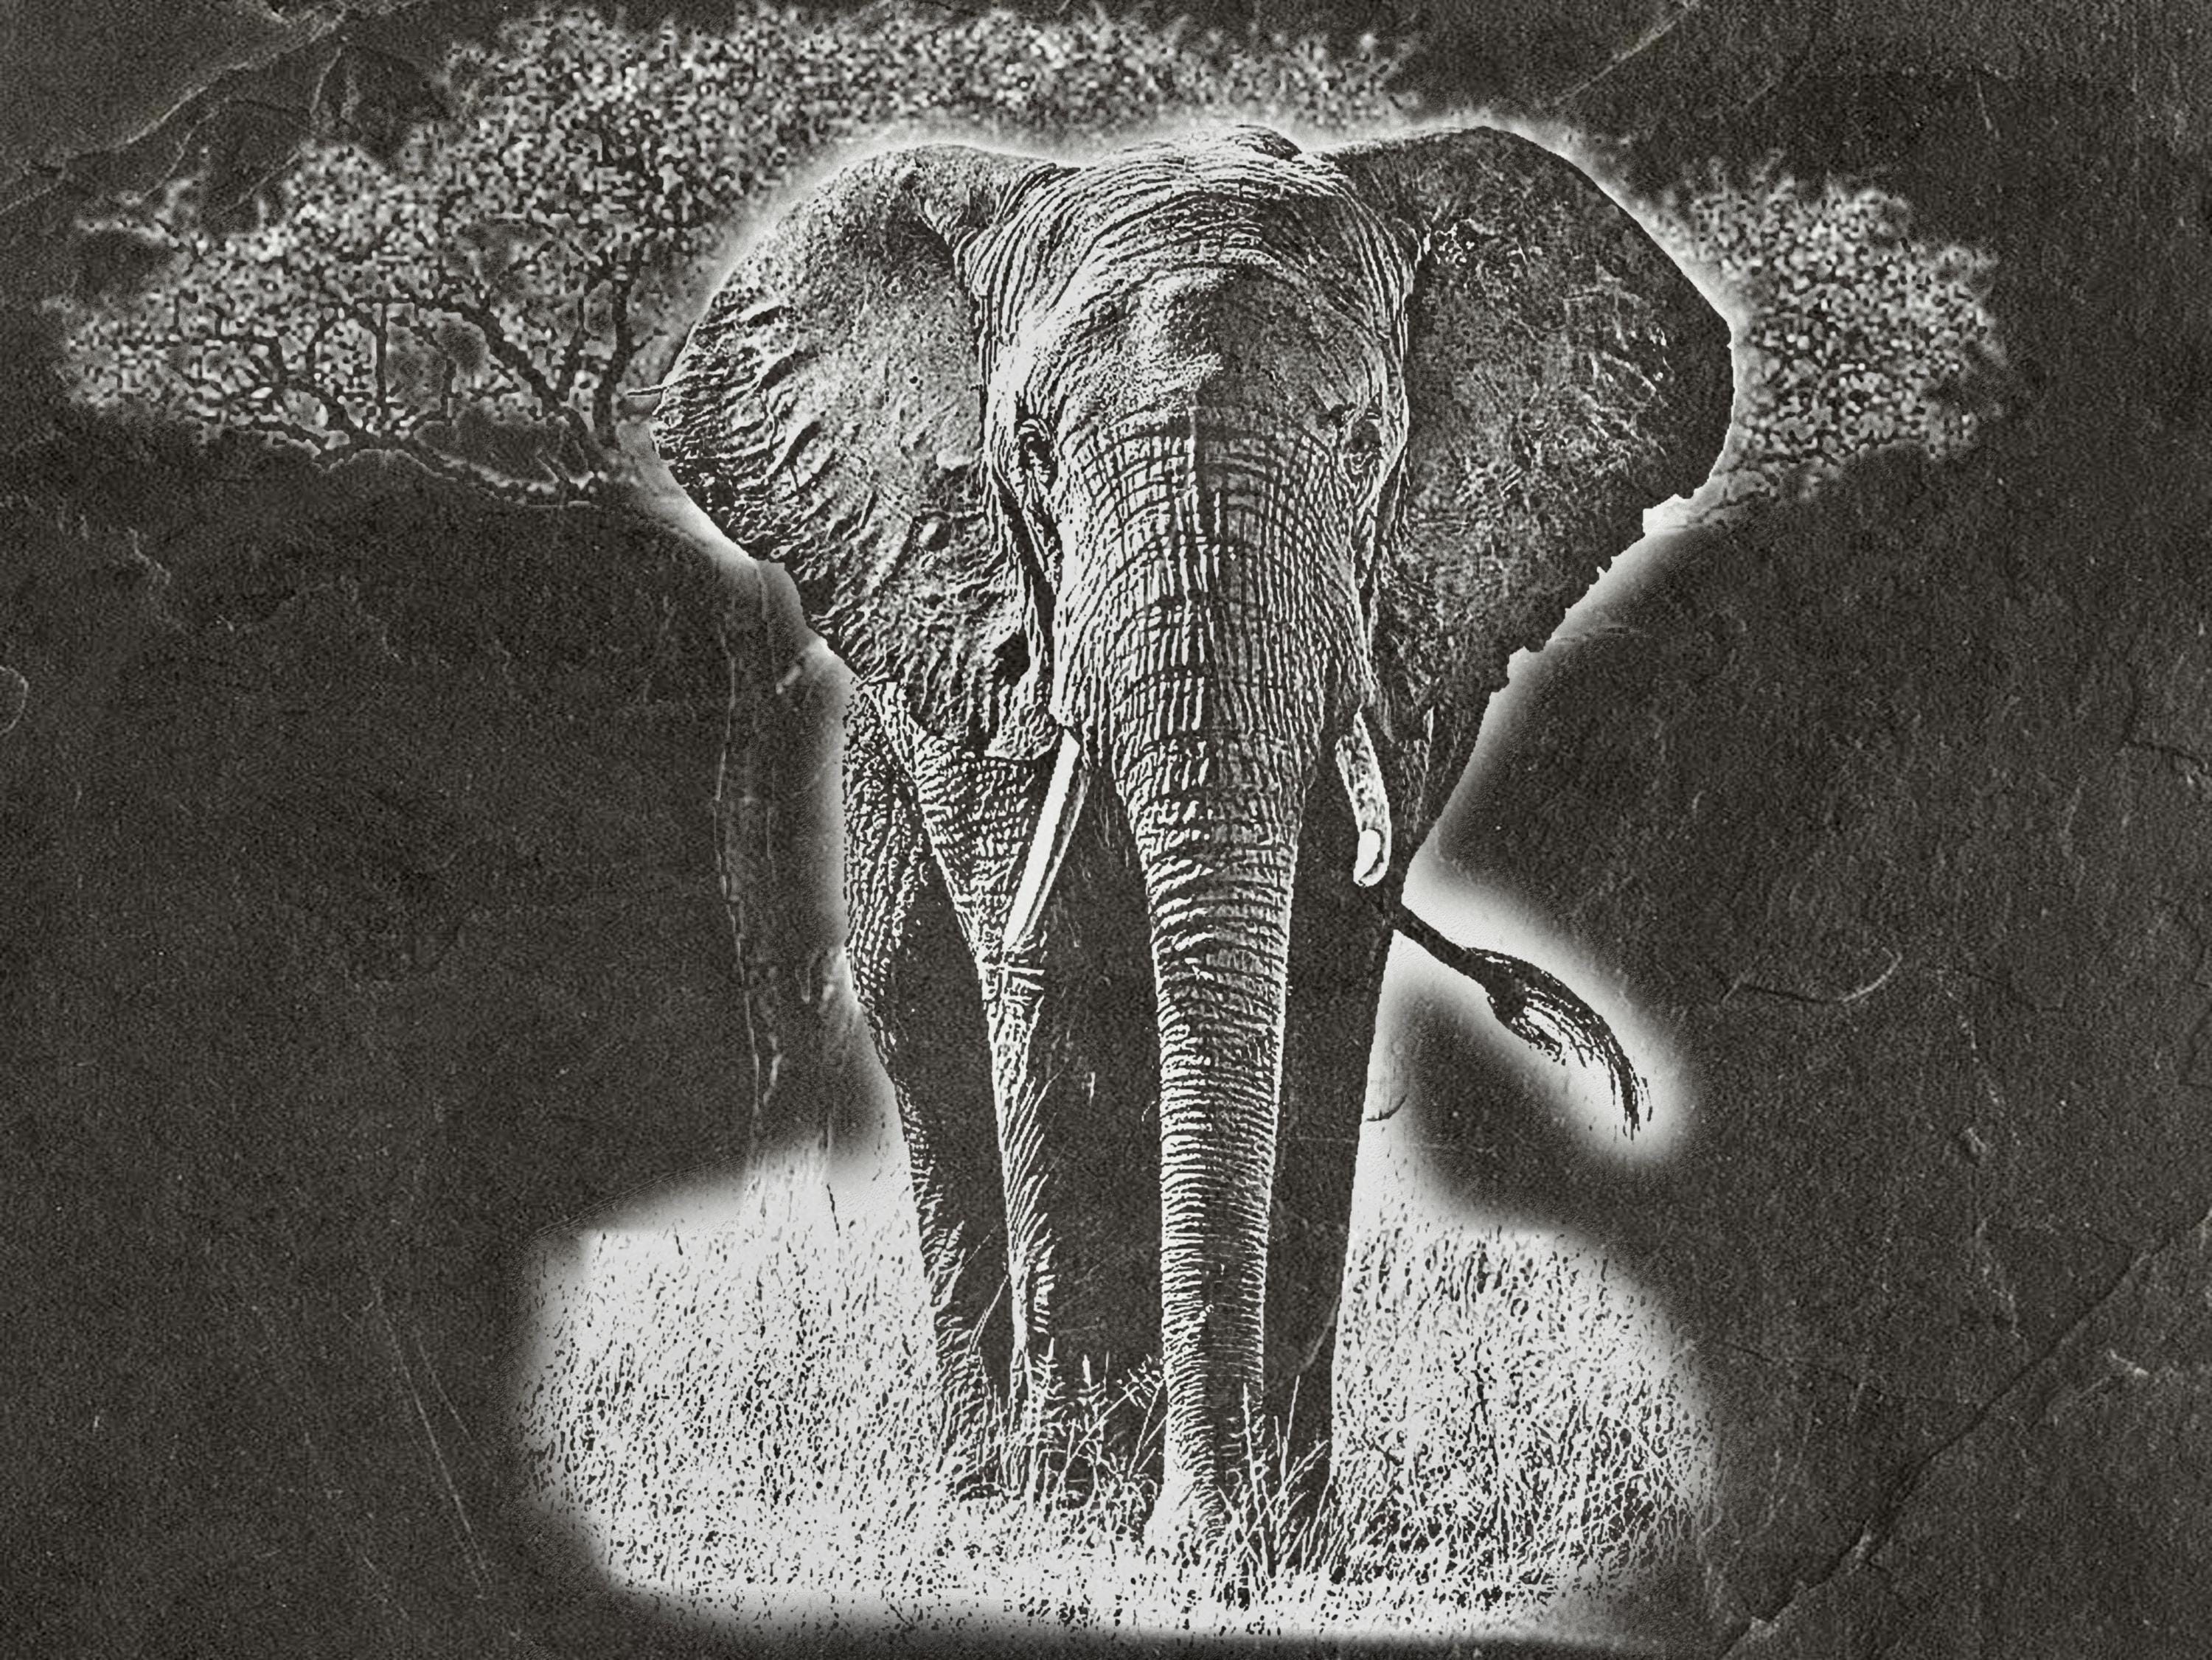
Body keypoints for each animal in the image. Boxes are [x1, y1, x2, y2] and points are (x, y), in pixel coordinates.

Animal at [652, 122, 1733, 1563]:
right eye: (1033, 449)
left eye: (1362, 437)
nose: (1201, 1534)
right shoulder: (987, 616)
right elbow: (1044, 978)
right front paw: (1085, 1518)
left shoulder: (1399, 638)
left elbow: (1321, 986)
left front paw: (1280, 1531)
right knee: (923, 1014)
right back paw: (993, 1491)